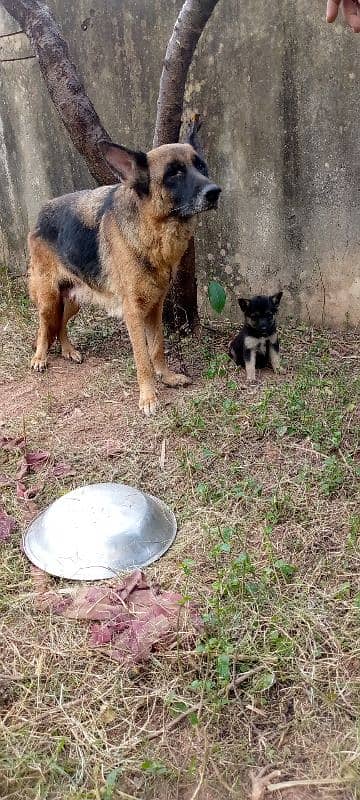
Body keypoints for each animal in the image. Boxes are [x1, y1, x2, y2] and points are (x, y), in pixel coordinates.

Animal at [28, 129, 221, 416]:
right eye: (173, 173)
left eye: (201, 166)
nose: (215, 192)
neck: (153, 229)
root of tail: (41, 213)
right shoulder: (133, 312)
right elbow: (142, 357)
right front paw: (148, 397)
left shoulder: (155, 307)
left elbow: (157, 347)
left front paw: (167, 377)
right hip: (49, 297)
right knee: (43, 326)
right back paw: (40, 357)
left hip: (74, 299)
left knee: (60, 323)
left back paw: (68, 350)